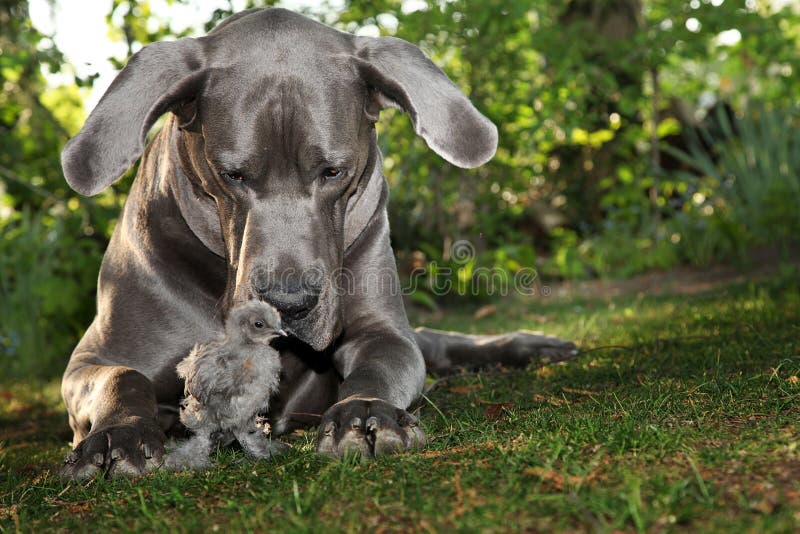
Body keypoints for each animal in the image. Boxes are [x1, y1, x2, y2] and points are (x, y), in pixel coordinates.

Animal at [61, 6, 576, 480]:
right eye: (232, 175)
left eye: (334, 171)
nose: (289, 304)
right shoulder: (92, 360)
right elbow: (122, 376)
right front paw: (119, 434)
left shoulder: (385, 333)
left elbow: (379, 366)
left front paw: (365, 413)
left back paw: (533, 346)